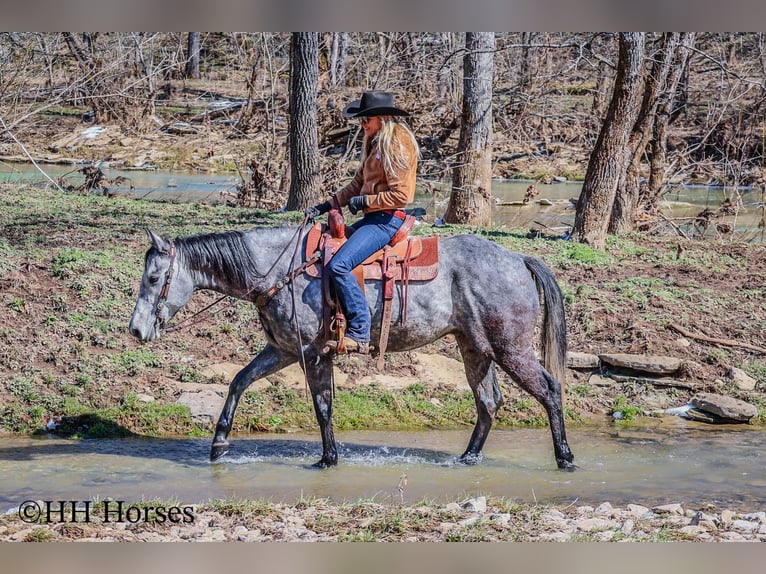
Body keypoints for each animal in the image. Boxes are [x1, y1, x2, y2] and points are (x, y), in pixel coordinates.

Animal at [130, 226, 576, 472]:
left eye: (153, 278)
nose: (136, 330)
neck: (279, 270)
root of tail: (518, 258)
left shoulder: (312, 355)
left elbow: (322, 407)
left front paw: (328, 459)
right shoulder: (284, 350)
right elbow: (239, 381)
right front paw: (219, 443)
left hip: (511, 349)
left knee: (550, 391)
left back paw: (565, 457)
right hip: (476, 350)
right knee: (489, 401)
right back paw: (467, 458)